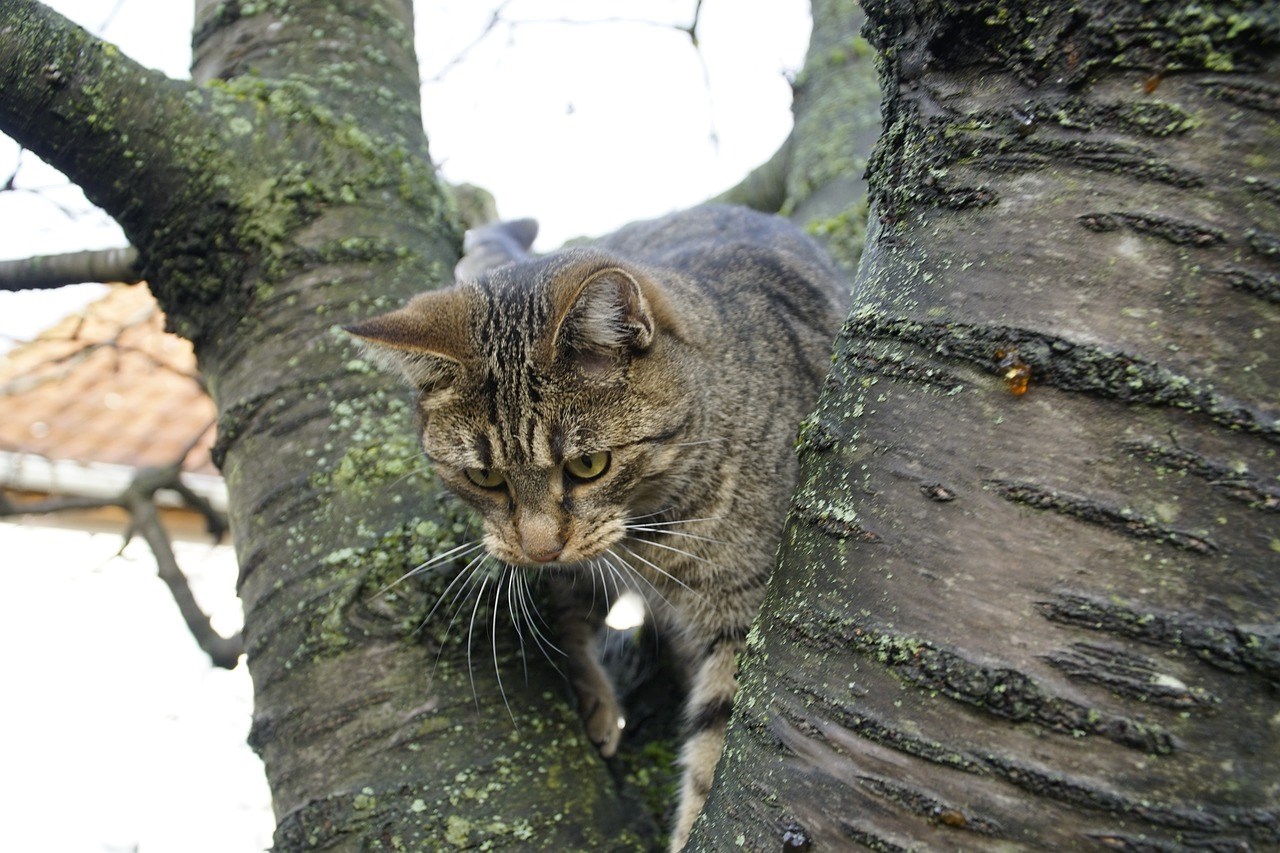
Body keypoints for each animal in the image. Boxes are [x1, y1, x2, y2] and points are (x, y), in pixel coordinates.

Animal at [350, 204, 844, 845]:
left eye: (589, 465)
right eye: (484, 477)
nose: (538, 549)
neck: (650, 540)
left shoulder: (741, 613)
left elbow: (714, 748)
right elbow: (567, 615)